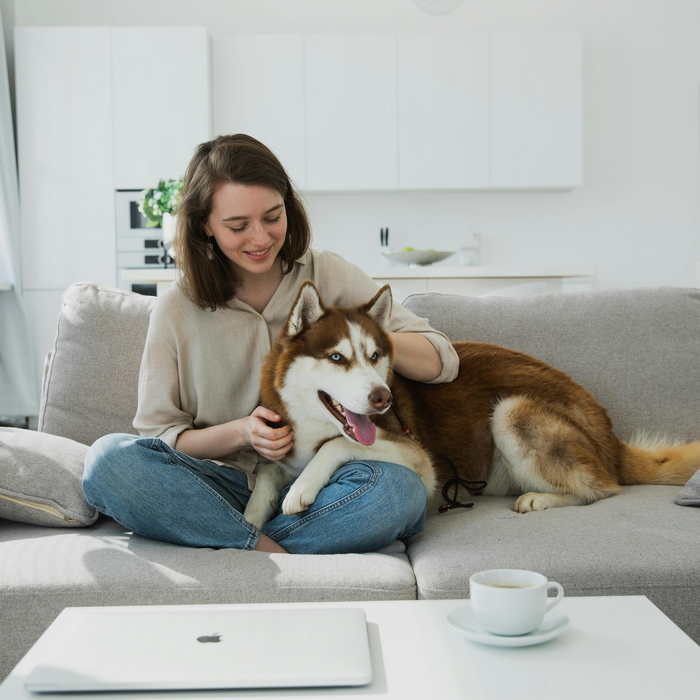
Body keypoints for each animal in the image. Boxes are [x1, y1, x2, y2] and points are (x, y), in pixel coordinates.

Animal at [242, 282, 700, 528]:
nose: (382, 397)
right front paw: (248, 520)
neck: (314, 423)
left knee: (604, 488)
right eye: (337, 357)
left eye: (374, 356)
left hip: (513, 410)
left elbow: (337, 446)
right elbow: (265, 473)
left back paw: (541, 499)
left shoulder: (419, 459)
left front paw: (301, 489)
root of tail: (610, 433)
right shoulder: (283, 448)